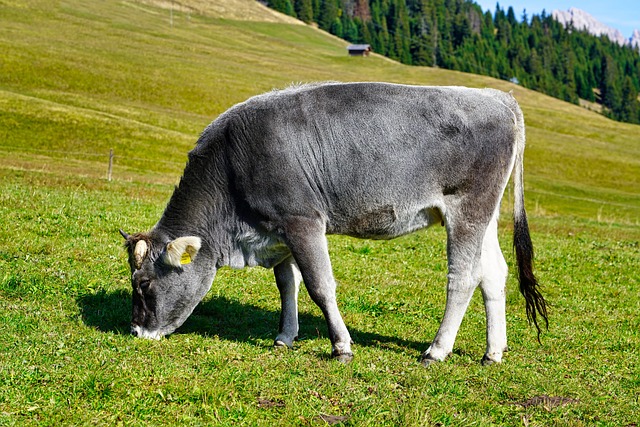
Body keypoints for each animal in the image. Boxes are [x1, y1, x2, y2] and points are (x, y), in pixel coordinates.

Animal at [121, 82, 552, 366]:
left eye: (144, 285)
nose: (136, 331)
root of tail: (496, 96)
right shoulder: (278, 229)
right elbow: (287, 284)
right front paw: (285, 336)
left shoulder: (303, 220)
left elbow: (320, 286)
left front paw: (341, 346)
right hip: (486, 214)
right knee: (494, 273)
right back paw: (493, 352)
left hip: (466, 206)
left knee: (463, 277)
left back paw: (437, 350)